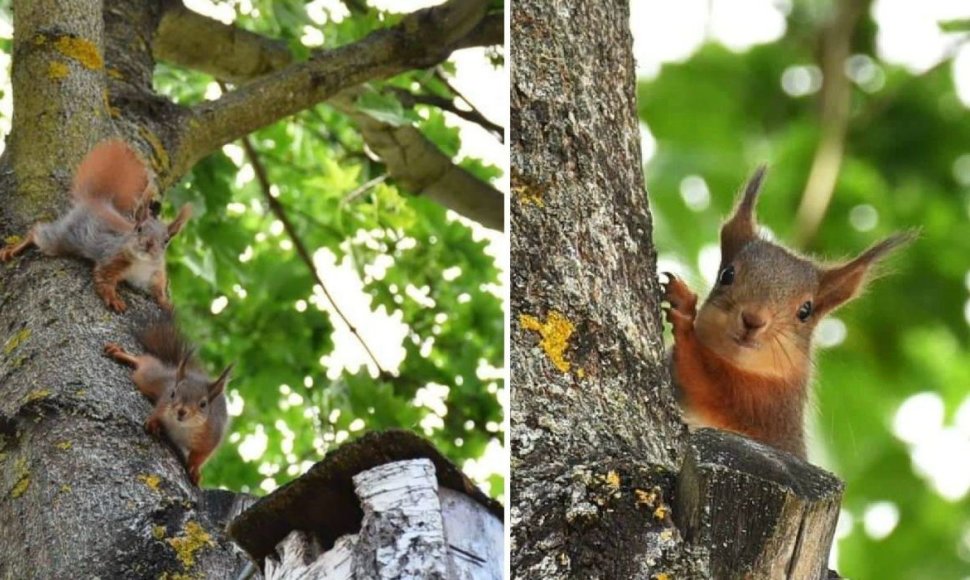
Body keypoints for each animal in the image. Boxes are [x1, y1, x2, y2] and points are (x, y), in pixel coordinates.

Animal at [0, 140, 191, 312]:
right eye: (138, 229)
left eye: (166, 241)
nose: (148, 244)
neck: (142, 262)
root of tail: (95, 201)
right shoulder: (112, 258)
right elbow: (103, 278)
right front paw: (114, 299)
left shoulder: (155, 274)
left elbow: (158, 290)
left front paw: (166, 303)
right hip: (61, 237)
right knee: (37, 232)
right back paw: (13, 249)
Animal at [103, 314, 231, 488]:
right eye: (173, 393)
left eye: (203, 404)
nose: (181, 411)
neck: (182, 427)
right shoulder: (164, 404)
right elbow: (156, 413)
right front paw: (153, 423)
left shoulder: (211, 435)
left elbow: (201, 456)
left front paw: (195, 471)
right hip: (150, 378)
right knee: (145, 363)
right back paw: (121, 353)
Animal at [660, 167, 912, 458]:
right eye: (727, 275)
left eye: (806, 310)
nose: (753, 320)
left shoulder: (769, 408)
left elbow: (714, 386)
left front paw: (684, 316)